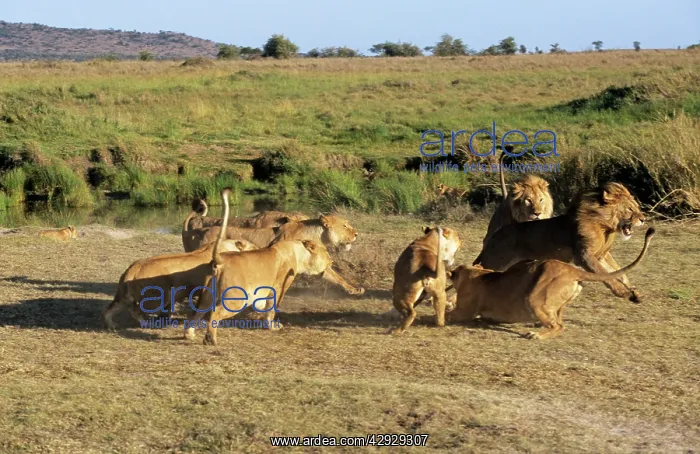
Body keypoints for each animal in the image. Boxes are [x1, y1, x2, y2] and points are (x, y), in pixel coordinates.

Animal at [102, 232, 255, 329]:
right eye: (252, 246)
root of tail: (133, 268)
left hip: (123, 297)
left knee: (109, 309)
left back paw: (112, 325)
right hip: (157, 298)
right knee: (135, 310)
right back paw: (147, 323)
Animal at [184, 189, 335, 346]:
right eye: (326, 252)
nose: (332, 261)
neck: (297, 250)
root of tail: (222, 259)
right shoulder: (279, 286)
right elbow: (271, 308)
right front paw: (272, 327)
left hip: (207, 296)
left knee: (196, 313)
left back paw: (189, 335)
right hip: (235, 298)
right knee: (215, 313)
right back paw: (210, 339)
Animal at [450, 227, 654, 339]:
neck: (476, 272)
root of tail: (573, 270)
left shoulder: (465, 310)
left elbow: (450, 313)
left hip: (534, 298)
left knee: (558, 326)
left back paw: (536, 335)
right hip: (556, 303)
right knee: (559, 322)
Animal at [474, 182, 646, 302]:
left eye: (637, 207)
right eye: (630, 209)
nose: (643, 219)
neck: (604, 226)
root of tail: (495, 235)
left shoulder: (600, 255)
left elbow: (617, 272)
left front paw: (634, 291)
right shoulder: (584, 256)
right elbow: (605, 274)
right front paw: (623, 292)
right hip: (496, 262)